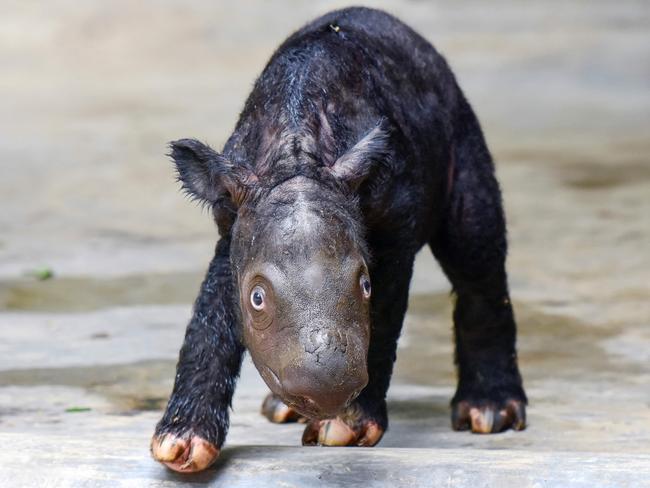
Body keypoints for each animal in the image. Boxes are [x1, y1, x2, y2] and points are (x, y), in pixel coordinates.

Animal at [151, 6, 528, 472]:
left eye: (364, 284)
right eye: (256, 298)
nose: (326, 392)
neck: (297, 155)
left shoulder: (393, 227)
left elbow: (383, 317)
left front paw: (344, 429)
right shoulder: (234, 220)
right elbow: (211, 314)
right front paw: (180, 444)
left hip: (461, 127)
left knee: (475, 251)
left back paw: (489, 414)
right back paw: (283, 410)